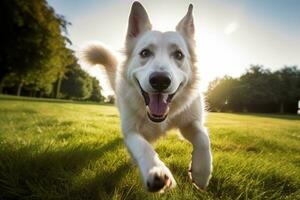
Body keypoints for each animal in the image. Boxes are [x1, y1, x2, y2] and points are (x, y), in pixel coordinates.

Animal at [83, 1, 212, 192]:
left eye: (179, 54)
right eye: (145, 53)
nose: (160, 80)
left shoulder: (190, 122)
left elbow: (203, 138)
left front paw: (201, 173)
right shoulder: (130, 131)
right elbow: (142, 147)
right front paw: (156, 170)